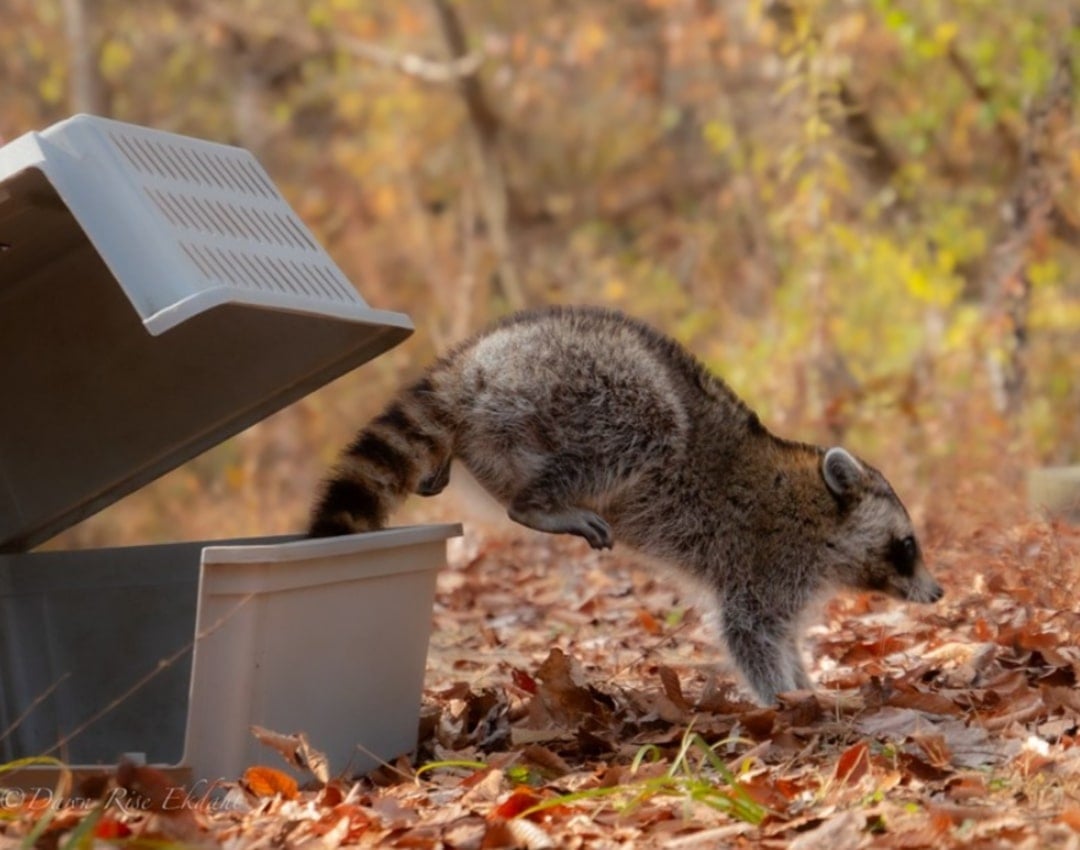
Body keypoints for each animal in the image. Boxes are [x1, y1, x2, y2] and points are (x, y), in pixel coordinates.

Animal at [308, 306, 941, 704]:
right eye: (907, 545)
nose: (937, 592)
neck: (821, 517)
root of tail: (475, 360)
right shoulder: (766, 563)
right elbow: (752, 634)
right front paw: (789, 697)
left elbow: (779, 637)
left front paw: (804, 684)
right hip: (581, 387)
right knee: (651, 423)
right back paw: (536, 504)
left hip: (511, 414)